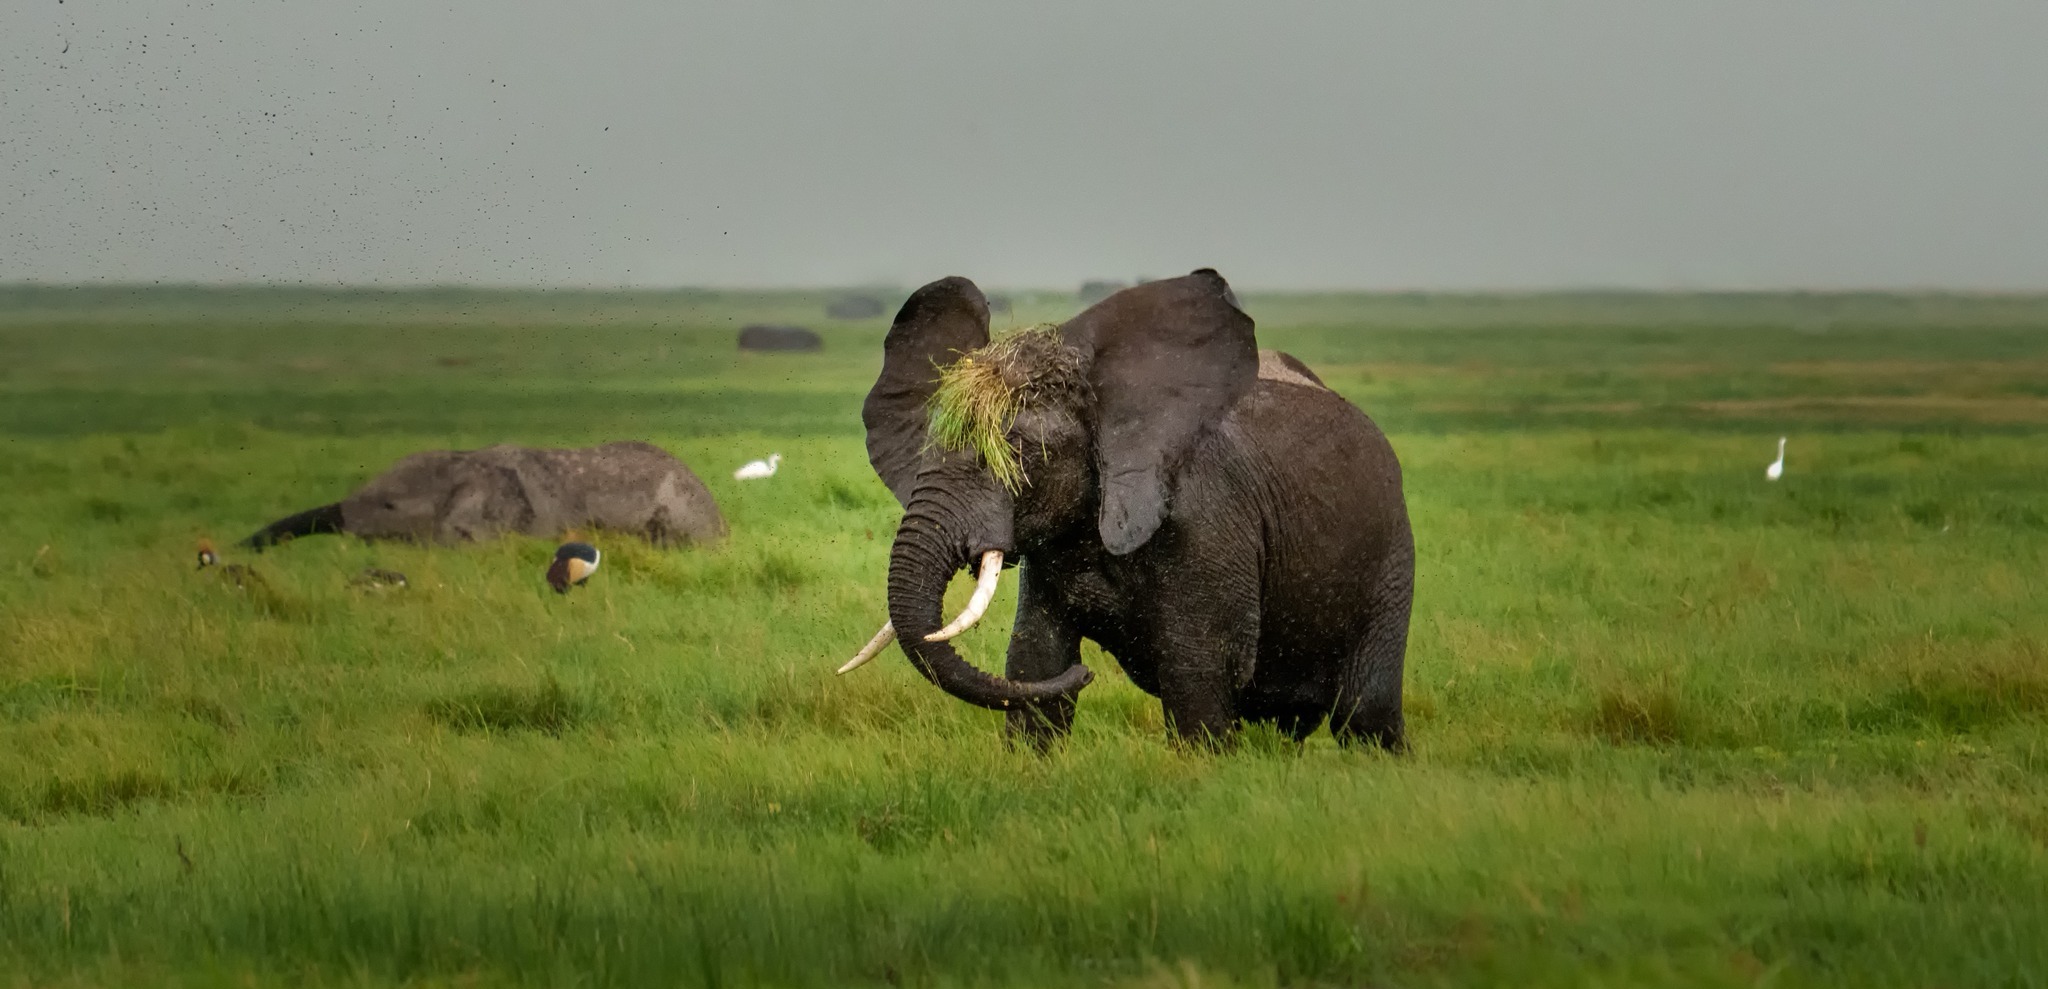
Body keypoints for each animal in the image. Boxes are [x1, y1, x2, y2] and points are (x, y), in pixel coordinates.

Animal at [842, 269, 1414, 751]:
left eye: (1018, 451)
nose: (1089, 674)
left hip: (1391, 556)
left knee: (1365, 715)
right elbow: (1035, 661)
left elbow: (1197, 676)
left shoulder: (1208, 529)